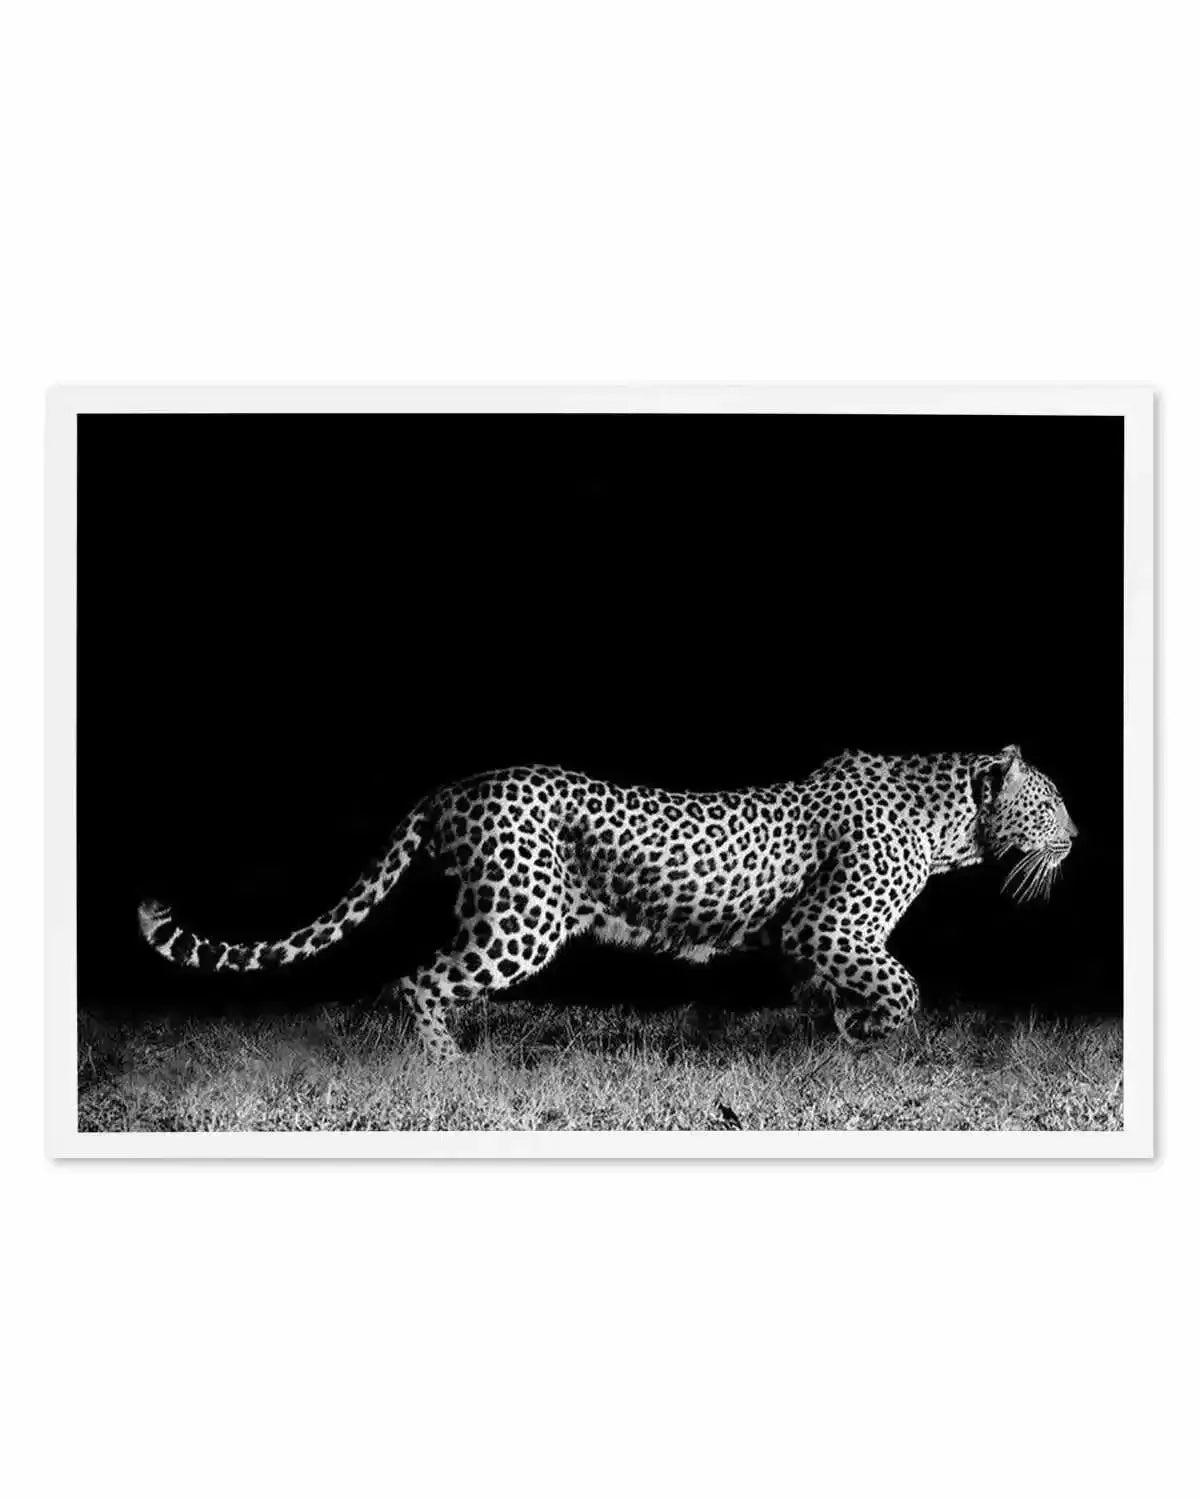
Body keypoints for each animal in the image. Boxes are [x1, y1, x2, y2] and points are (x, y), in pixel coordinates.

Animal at [138, 744, 1076, 1061]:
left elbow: (837, 992)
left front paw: (841, 1034)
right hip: (522, 919)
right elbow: (904, 986)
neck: (952, 822)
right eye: (1055, 802)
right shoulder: (828, 925)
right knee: (418, 980)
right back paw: (451, 1069)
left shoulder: (817, 941)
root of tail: (451, 787)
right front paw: (873, 1034)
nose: (1080, 833)